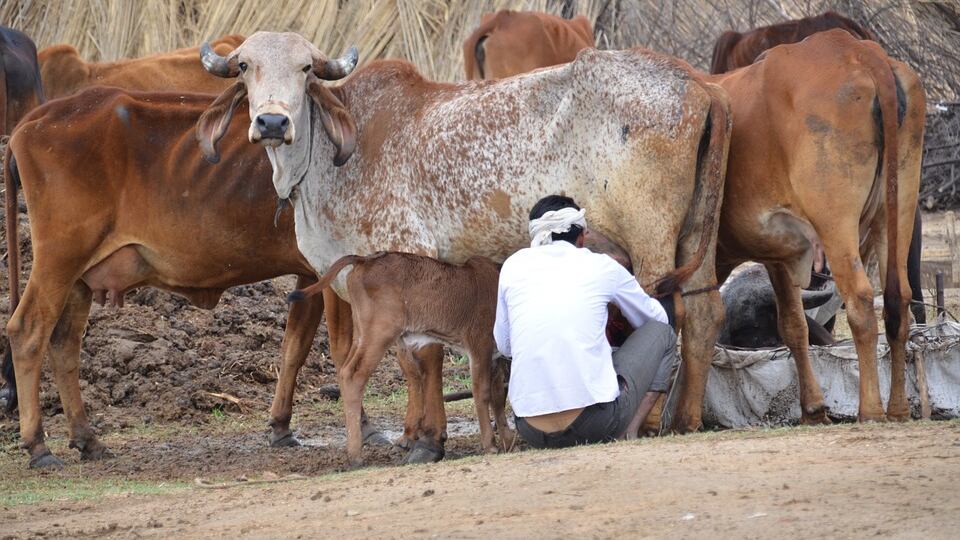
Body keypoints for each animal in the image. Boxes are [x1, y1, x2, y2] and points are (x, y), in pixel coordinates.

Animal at [289, 252, 515, 462]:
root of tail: (365, 259)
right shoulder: (480, 346)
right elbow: (482, 393)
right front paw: (490, 445)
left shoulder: (496, 356)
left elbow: (498, 396)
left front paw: (508, 440)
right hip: (380, 334)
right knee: (353, 375)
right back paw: (355, 455)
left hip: (362, 334)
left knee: (345, 370)